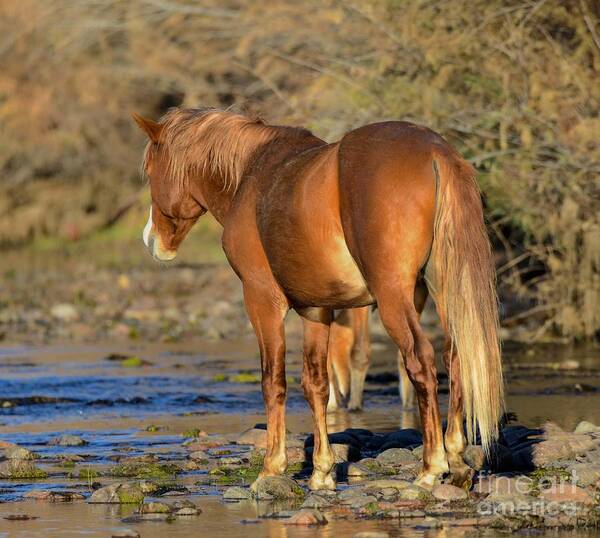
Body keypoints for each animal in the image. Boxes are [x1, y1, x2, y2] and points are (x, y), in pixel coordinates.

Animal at [134, 107, 504, 488]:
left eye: (150, 170)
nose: (151, 239)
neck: (251, 176)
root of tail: (435, 152)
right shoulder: (317, 310)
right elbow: (317, 385)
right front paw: (322, 472)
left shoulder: (262, 300)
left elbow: (274, 381)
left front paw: (272, 466)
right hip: (443, 292)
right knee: (456, 357)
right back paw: (457, 458)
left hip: (394, 298)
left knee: (421, 361)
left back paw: (432, 466)